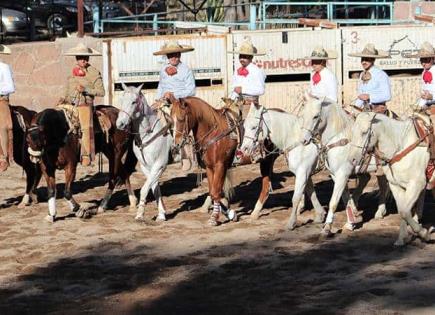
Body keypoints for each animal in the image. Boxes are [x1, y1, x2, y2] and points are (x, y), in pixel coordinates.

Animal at [116, 84, 174, 222]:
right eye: (121, 100)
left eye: (133, 102)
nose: (120, 124)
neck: (148, 134)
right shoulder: (146, 167)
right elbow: (154, 188)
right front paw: (161, 214)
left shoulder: (159, 164)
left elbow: (144, 189)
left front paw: (140, 214)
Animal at [302, 95, 390, 236]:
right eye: (303, 114)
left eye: (315, 116)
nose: (304, 140)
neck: (339, 138)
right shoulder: (336, 175)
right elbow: (345, 198)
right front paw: (350, 223)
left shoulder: (342, 175)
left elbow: (333, 201)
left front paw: (327, 227)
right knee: (379, 184)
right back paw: (379, 212)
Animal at [350, 111, 430, 247]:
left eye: (364, 132)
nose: (353, 159)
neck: (401, 146)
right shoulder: (396, 185)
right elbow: (403, 211)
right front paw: (401, 239)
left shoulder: (416, 185)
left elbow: (405, 211)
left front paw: (424, 233)